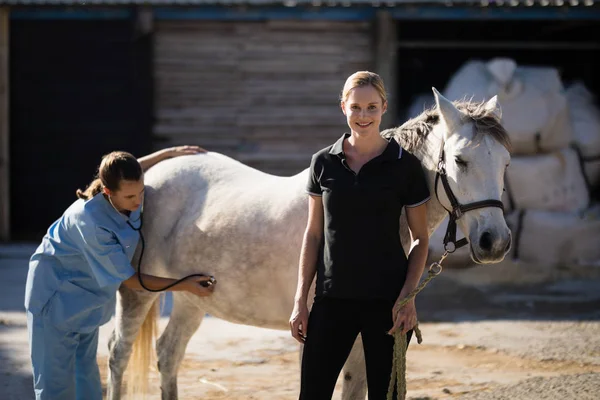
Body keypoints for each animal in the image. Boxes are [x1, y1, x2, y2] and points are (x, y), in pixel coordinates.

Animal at [106, 88, 510, 400]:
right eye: (460, 160)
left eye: (506, 162)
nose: (496, 243)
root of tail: (149, 173)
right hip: (138, 294)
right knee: (117, 354)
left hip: (191, 299)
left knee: (168, 354)